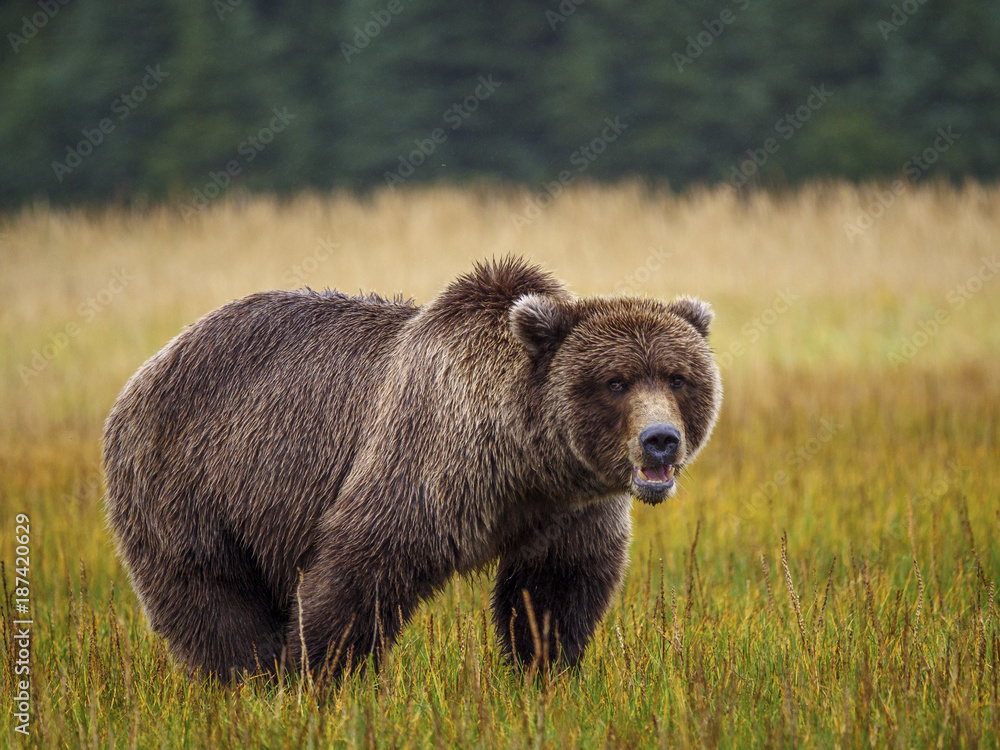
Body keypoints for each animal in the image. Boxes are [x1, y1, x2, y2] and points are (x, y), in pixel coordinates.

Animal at [101, 258, 720, 680]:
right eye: (616, 381)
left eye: (678, 377)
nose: (660, 441)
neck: (524, 460)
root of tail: (147, 368)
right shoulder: (425, 463)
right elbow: (358, 571)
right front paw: (314, 676)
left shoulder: (570, 508)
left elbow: (554, 592)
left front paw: (544, 671)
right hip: (187, 481)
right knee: (212, 600)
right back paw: (246, 676)